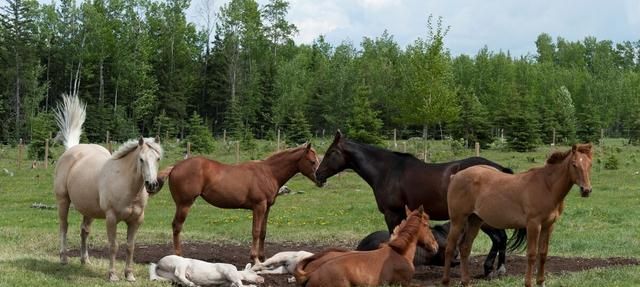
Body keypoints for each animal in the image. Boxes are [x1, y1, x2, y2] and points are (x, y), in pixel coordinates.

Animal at [160, 144, 320, 266]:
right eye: (312, 161)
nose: (321, 180)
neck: (269, 172)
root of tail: (175, 166)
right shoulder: (259, 206)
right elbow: (256, 232)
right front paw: (255, 258)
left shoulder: (267, 208)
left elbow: (263, 232)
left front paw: (263, 258)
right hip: (184, 204)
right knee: (177, 226)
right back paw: (179, 256)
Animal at [312, 132, 524, 278]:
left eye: (331, 152)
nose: (317, 175)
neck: (388, 171)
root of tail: (498, 169)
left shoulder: (392, 213)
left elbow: (393, 237)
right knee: (500, 239)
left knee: (499, 238)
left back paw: (494, 269)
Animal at [440, 144, 596, 287]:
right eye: (574, 164)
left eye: (590, 164)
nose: (586, 190)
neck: (547, 186)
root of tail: (455, 176)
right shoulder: (533, 225)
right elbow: (532, 255)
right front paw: (528, 283)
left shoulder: (548, 226)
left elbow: (543, 254)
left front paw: (541, 282)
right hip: (458, 220)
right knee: (450, 248)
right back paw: (446, 281)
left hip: (475, 221)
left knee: (465, 248)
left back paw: (465, 281)